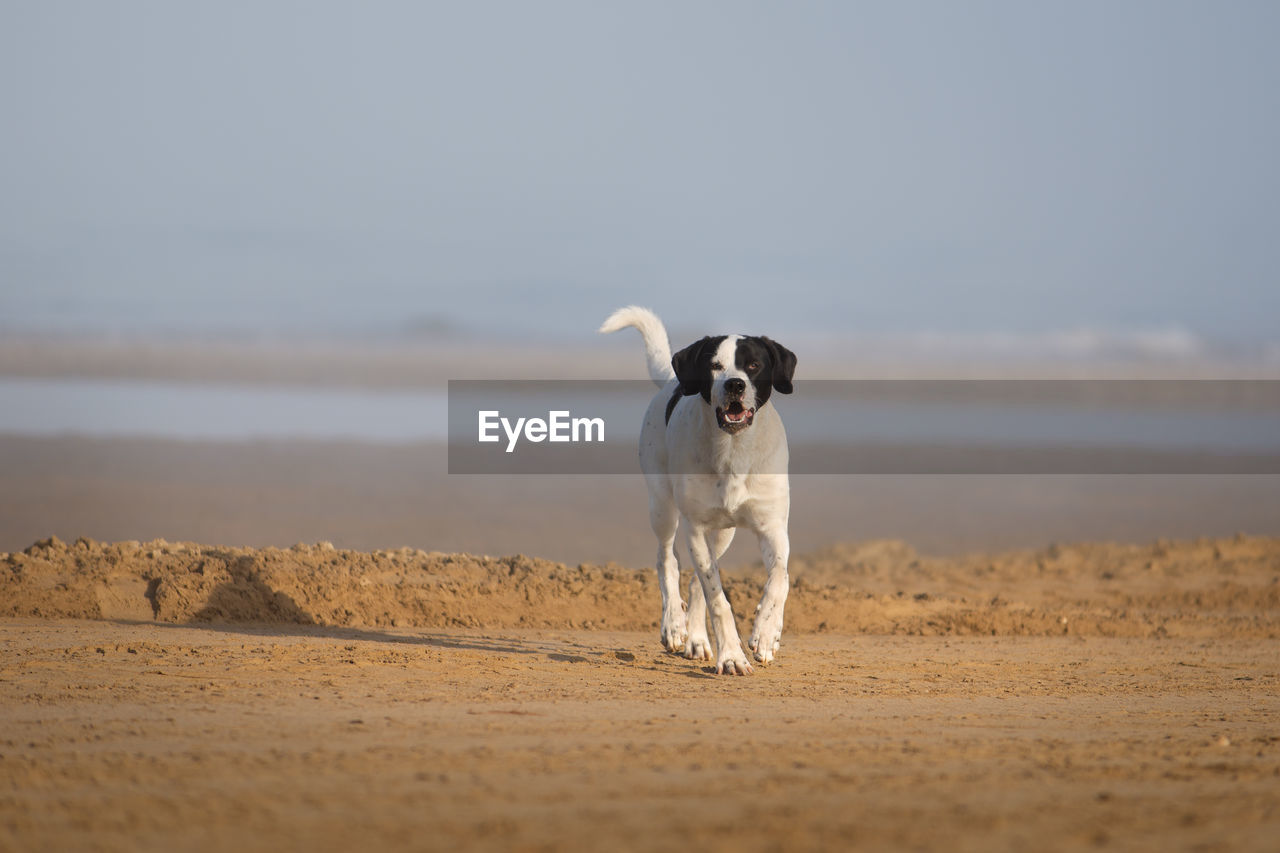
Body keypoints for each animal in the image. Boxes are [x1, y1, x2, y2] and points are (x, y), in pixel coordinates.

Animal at [596, 306, 793, 671]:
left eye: (754, 365)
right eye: (714, 365)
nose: (734, 384)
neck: (733, 451)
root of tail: (670, 382)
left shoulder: (773, 527)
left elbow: (779, 580)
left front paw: (766, 634)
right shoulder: (696, 527)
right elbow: (718, 599)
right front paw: (732, 656)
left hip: (723, 533)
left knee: (697, 580)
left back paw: (698, 639)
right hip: (663, 508)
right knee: (667, 561)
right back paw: (674, 625)